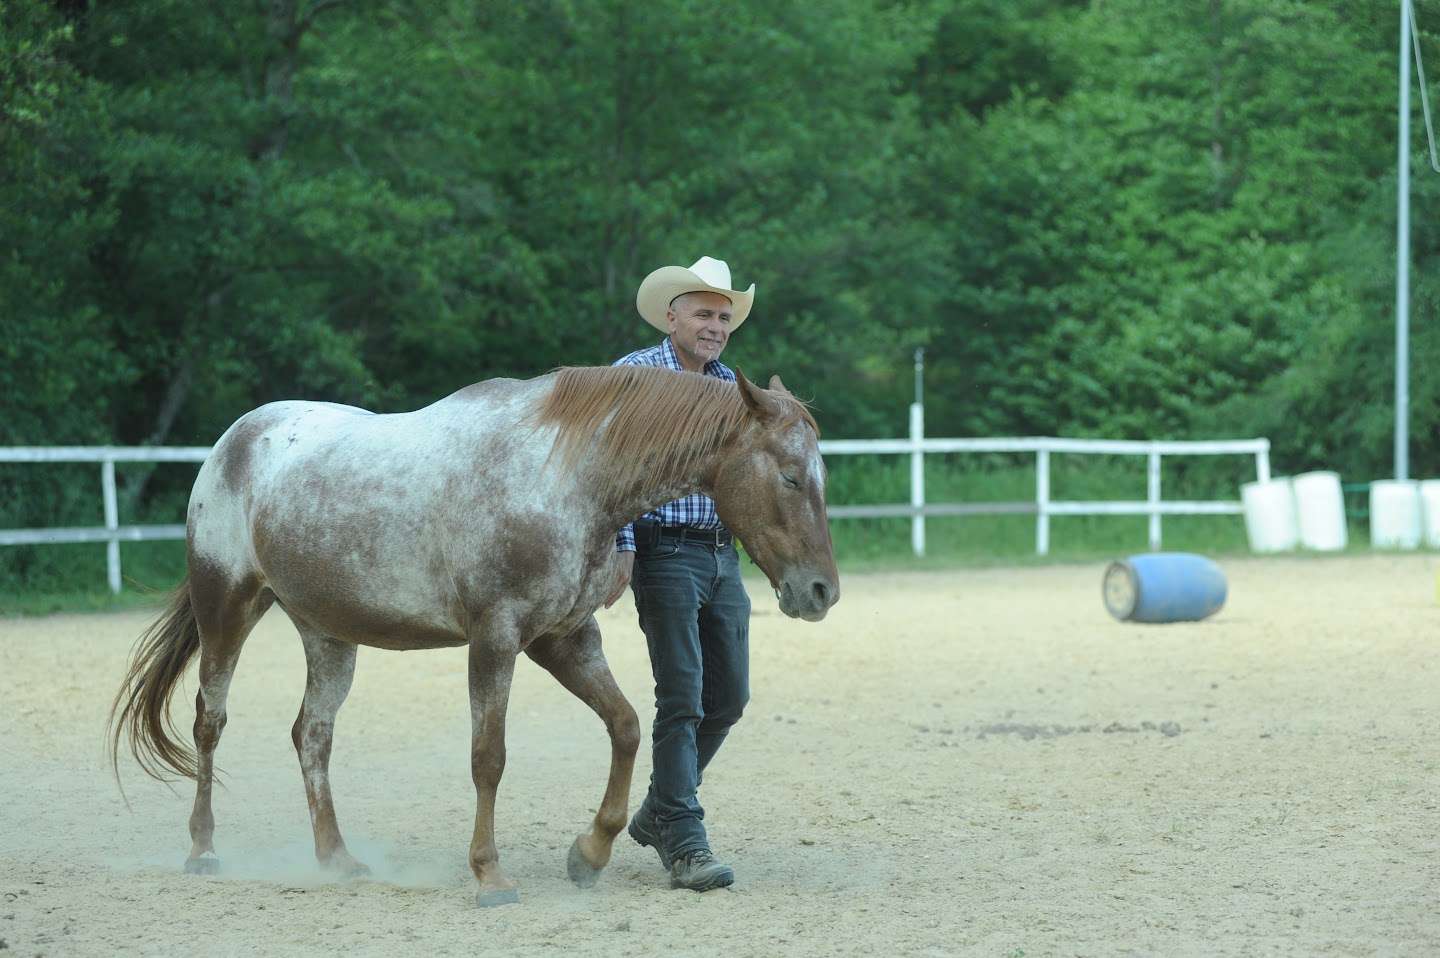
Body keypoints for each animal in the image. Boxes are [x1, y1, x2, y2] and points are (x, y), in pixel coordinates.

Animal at [108, 365, 839, 906]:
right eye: (790, 475)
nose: (821, 592)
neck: (564, 473)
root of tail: (235, 440)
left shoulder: (565, 640)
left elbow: (628, 727)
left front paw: (589, 852)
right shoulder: (497, 639)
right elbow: (489, 758)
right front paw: (490, 875)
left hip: (327, 634)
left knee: (312, 735)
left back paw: (336, 858)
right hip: (227, 607)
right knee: (210, 722)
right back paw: (204, 849)